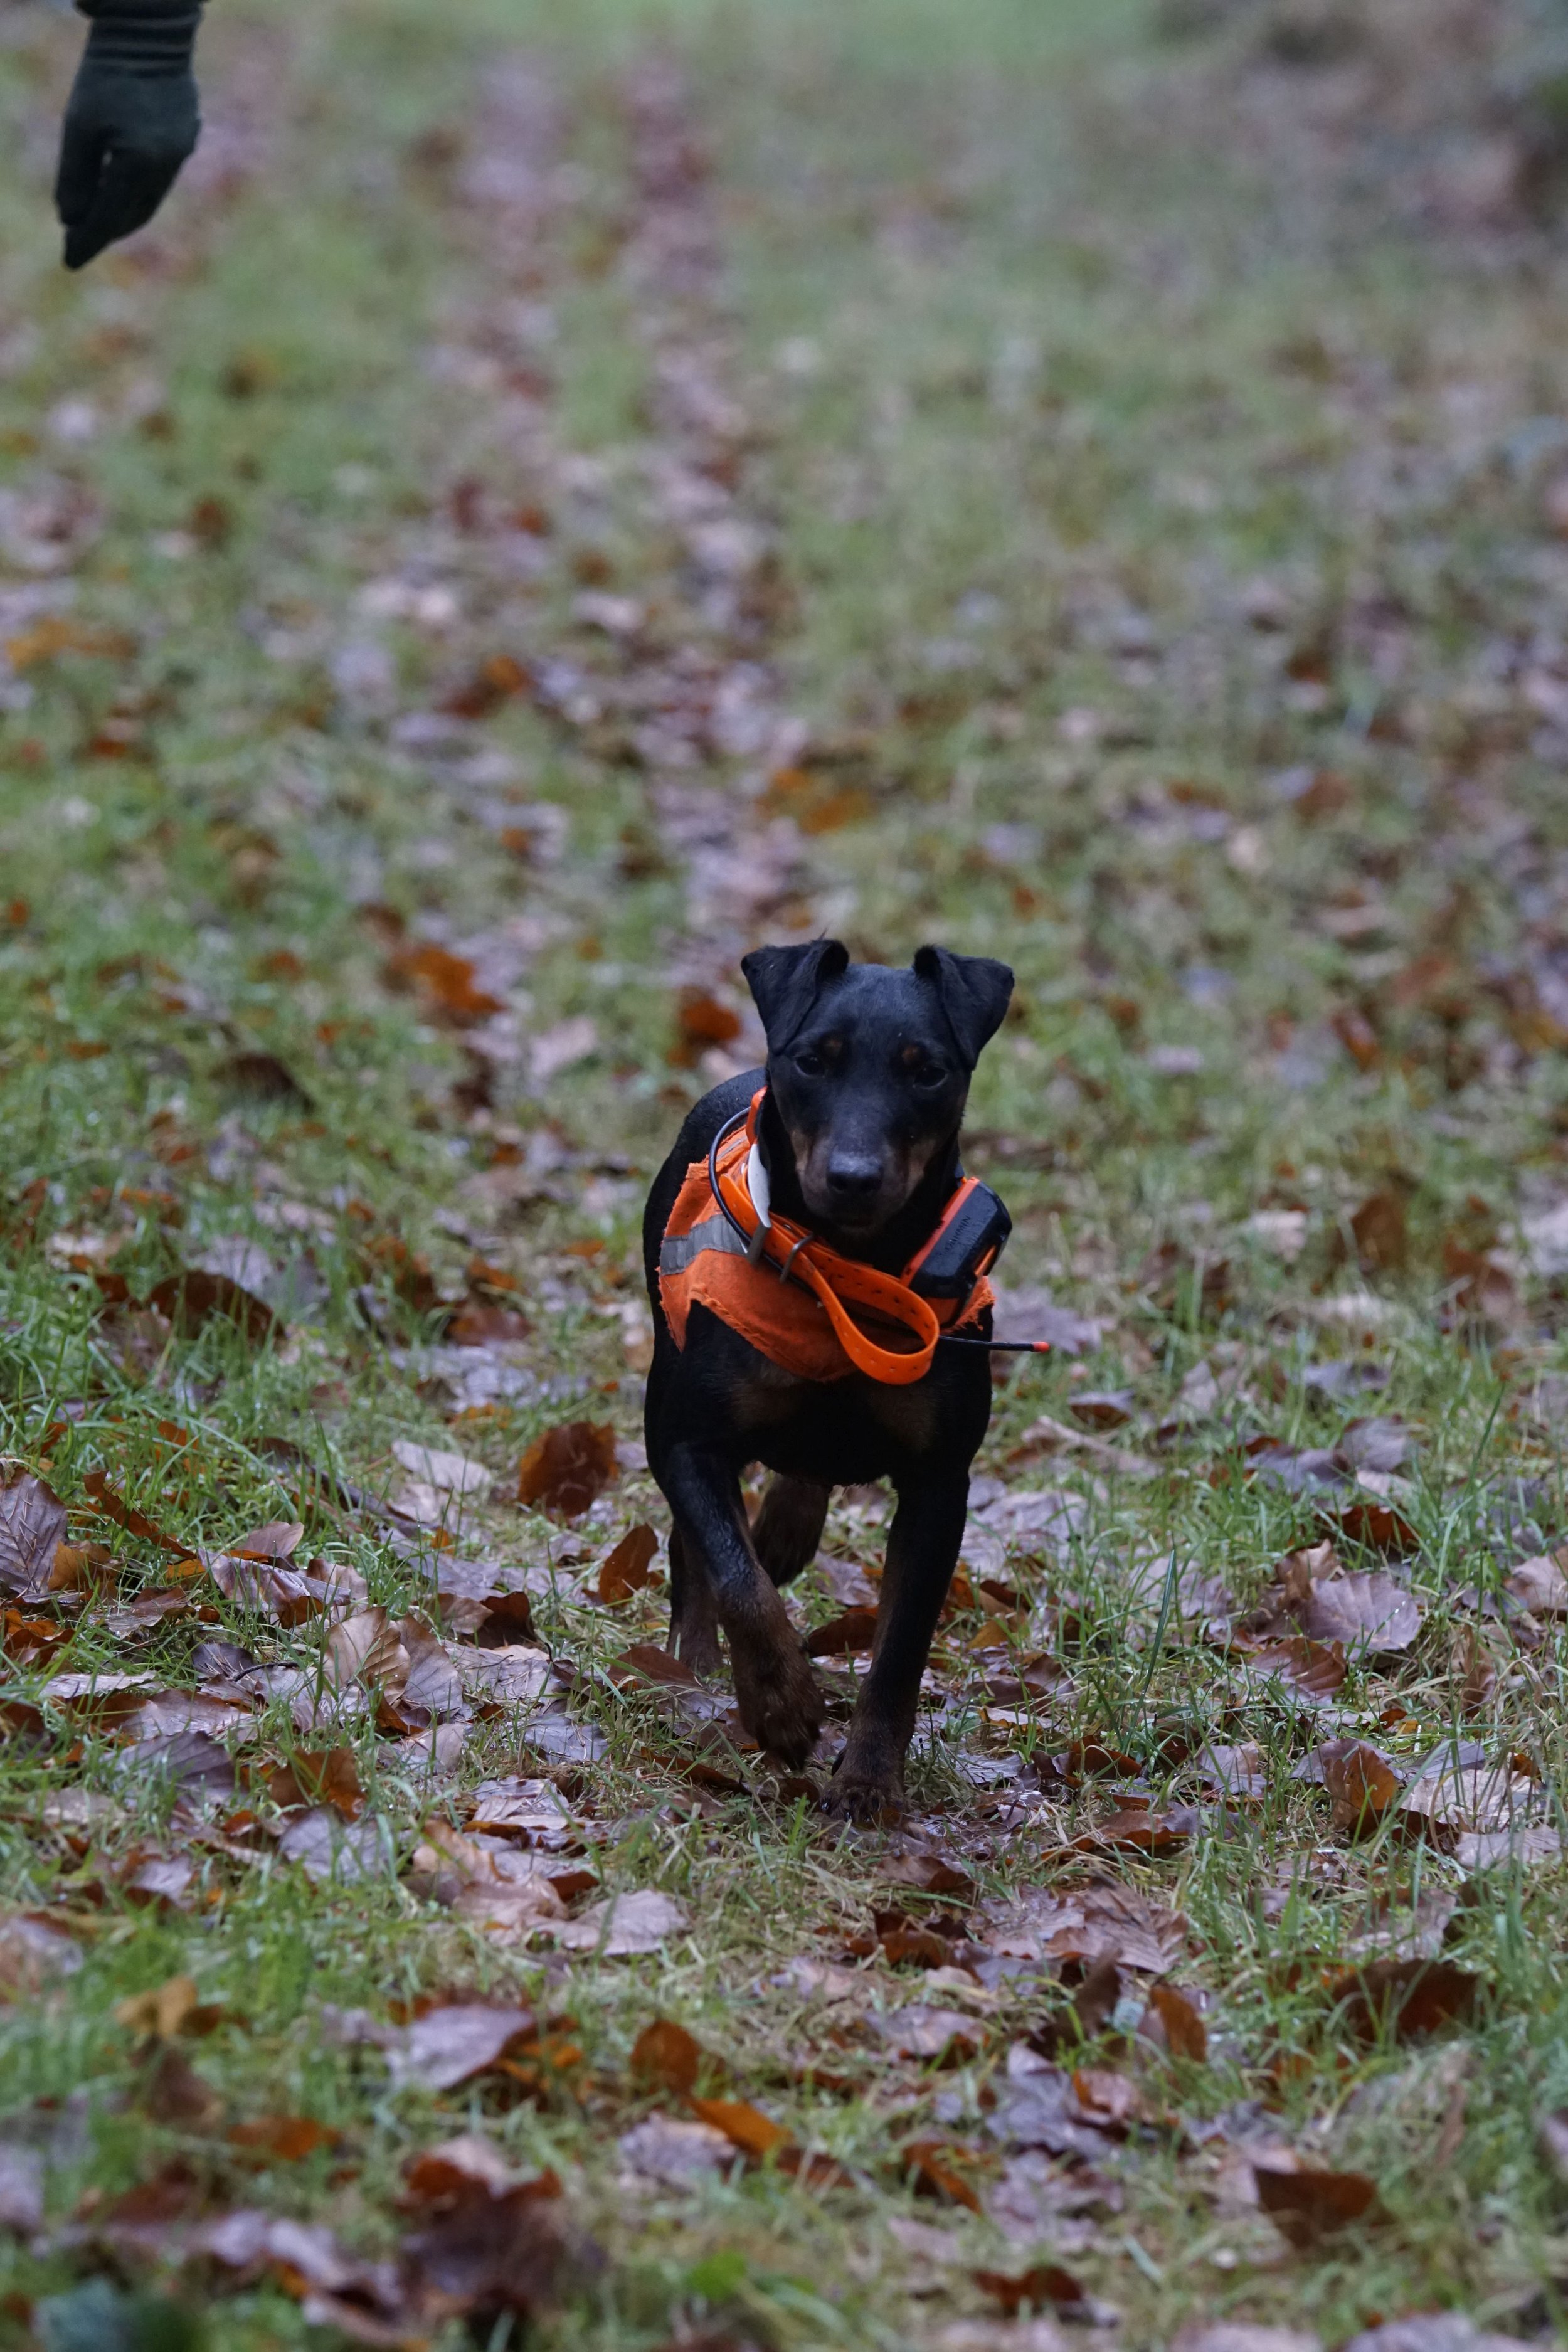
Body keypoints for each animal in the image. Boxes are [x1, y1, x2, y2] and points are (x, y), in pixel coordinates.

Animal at [641, 939, 1014, 1820]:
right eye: (813, 1061)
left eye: (927, 1071)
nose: (852, 1177)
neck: (846, 1272)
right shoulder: (683, 1438)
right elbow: (733, 1571)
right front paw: (779, 1705)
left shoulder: (941, 1481)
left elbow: (901, 1649)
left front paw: (869, 1782)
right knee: (693, 1547)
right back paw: (694, 1667)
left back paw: (787, 1524)